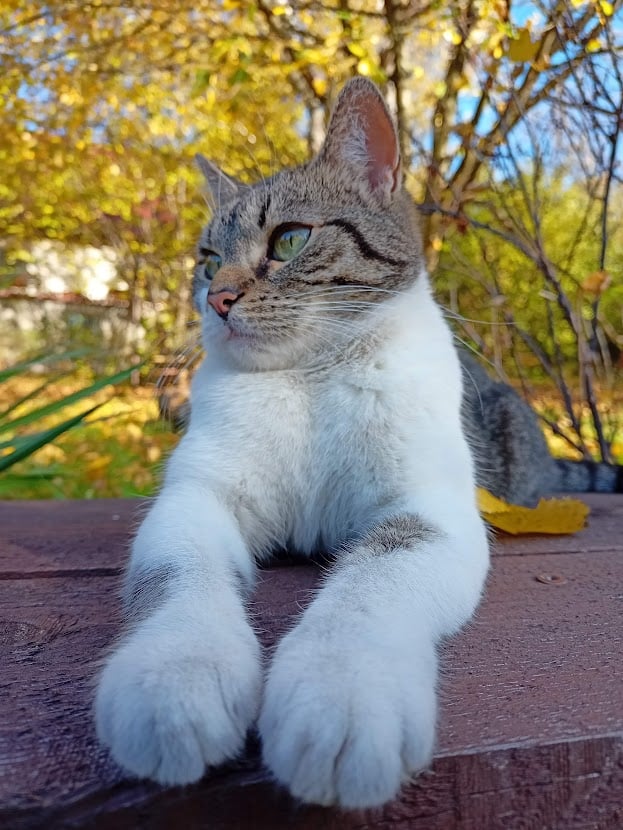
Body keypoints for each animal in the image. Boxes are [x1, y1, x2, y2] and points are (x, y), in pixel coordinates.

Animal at [95, 78, 620, 812]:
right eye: (206, 261)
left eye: (289, 240)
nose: (217, 299)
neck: (310, 376)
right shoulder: (197, 496)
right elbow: (177, 572)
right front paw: (174, 675)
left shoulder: (431, 508)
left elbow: (375, 578)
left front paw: (338, 692)